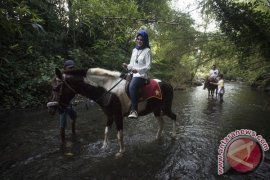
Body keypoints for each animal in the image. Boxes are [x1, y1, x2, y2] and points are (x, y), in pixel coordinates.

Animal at [47, 67, 176, 156]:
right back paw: (157, 137)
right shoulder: (109, 115)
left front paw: (121, 152)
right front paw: (104, 147)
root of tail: (168, 84)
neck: (107, 90)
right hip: (156, 110)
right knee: (161, 123)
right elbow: (106, 132)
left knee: (173, 116)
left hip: (165, 108)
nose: (51, 109)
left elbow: (119, 135)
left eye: (56, 88)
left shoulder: (118, 115)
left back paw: (174, 135)